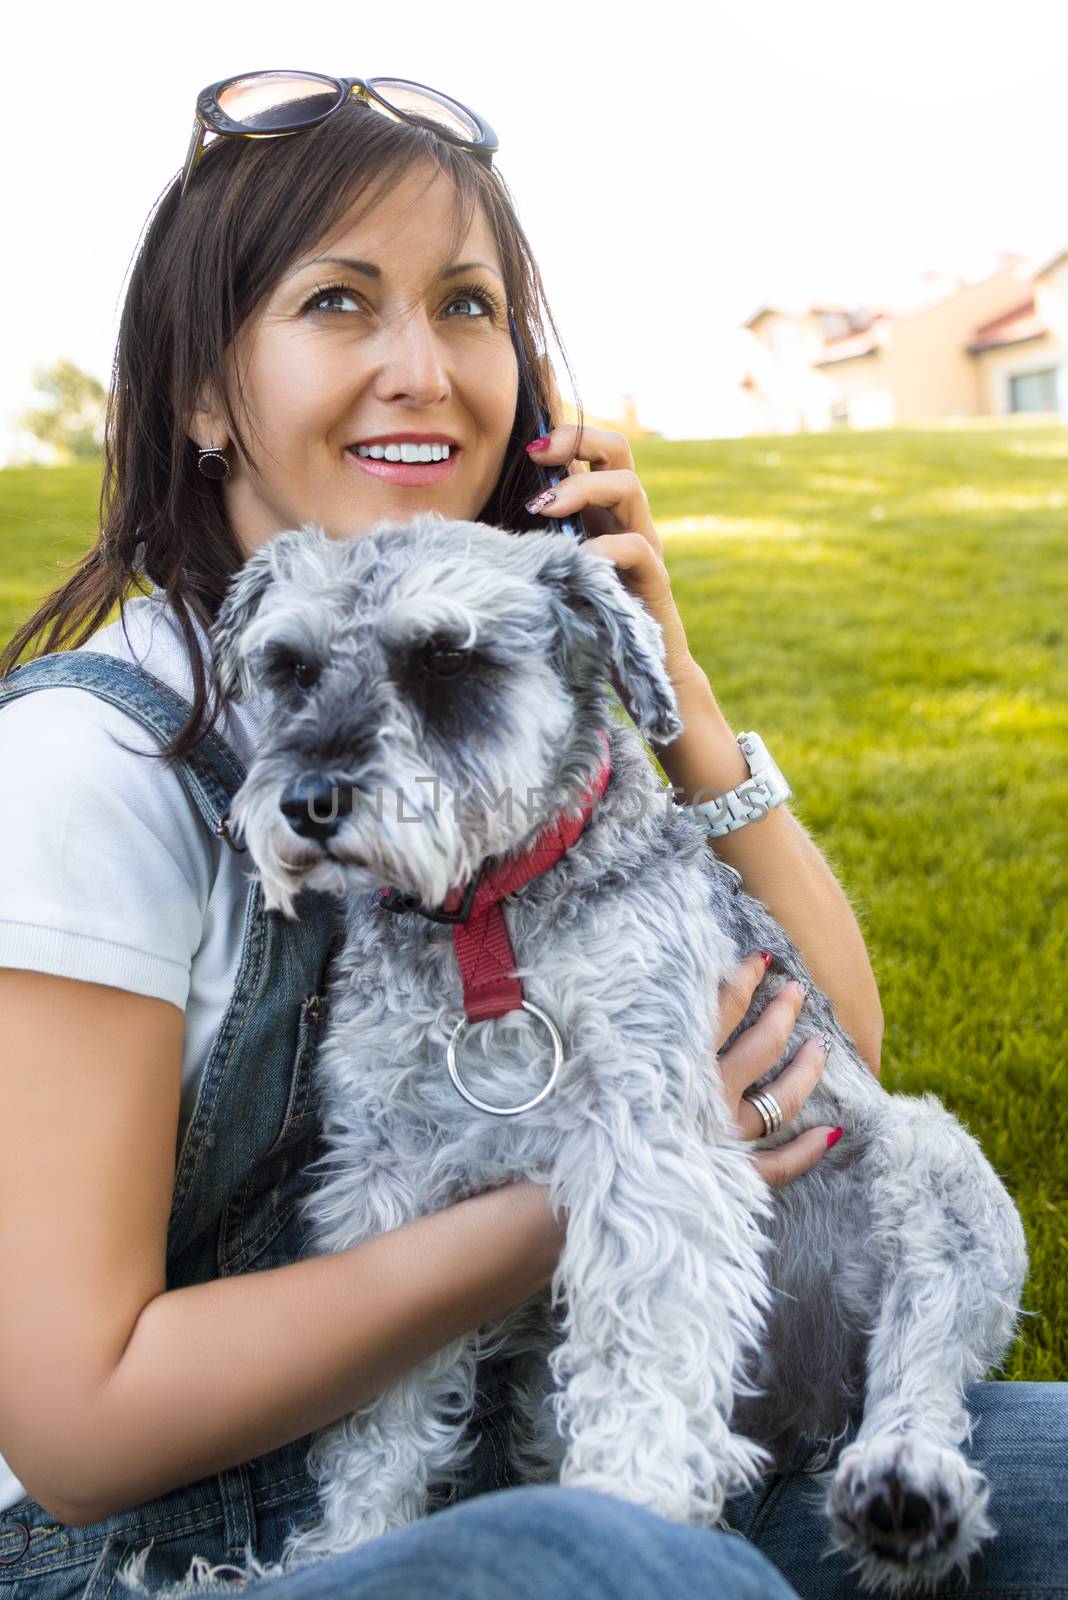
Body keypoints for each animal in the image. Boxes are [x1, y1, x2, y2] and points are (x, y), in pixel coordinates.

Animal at [202, 515, 1023, 1600]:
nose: (307, 802)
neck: (487, 920)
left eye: (448, 659)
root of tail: (804, 1424)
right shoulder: (388, 1172)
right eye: (289, 667)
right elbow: (383, 1398)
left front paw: (633, 1498)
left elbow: (646, 1336)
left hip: (934, 1169)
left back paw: (907, 1489)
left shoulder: (646, 1141)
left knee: (921, 1361)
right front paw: (354, 1540)